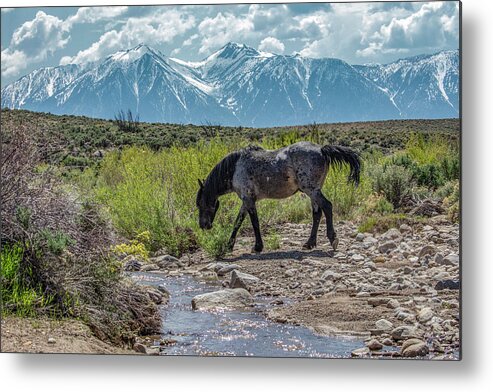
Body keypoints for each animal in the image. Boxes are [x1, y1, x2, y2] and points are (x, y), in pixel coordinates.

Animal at [196, 142, 362, 253]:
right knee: (317, 213)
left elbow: (254, 222)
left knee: (327, 207)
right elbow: (238, 222)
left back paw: (332, 239)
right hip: (313, 191)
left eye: (200, 204)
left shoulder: (248, 199)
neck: (235, 168)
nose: (203, 225)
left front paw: (257, 247)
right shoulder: (246, 200)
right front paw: (229, 246)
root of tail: (321, 149)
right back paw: (309, 243)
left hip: (312, 190)